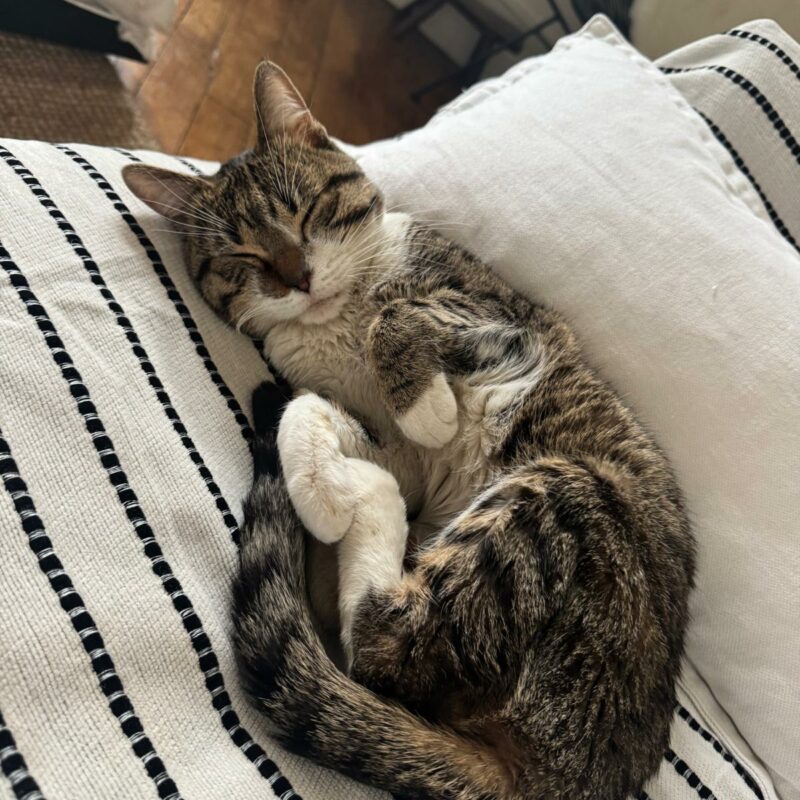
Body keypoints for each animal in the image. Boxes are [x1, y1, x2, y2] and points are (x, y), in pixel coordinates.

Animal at [123, 61, 696, 800]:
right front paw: (321, 492)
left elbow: (396, 318)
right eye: (242, 256)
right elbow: (308, 411)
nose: (298, 277)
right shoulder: (389, 442)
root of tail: (576, 777)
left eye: (305, 210)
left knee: (386, 644)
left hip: (568, 491)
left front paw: (427, 408)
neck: (333, 322)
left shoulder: (490, 312)